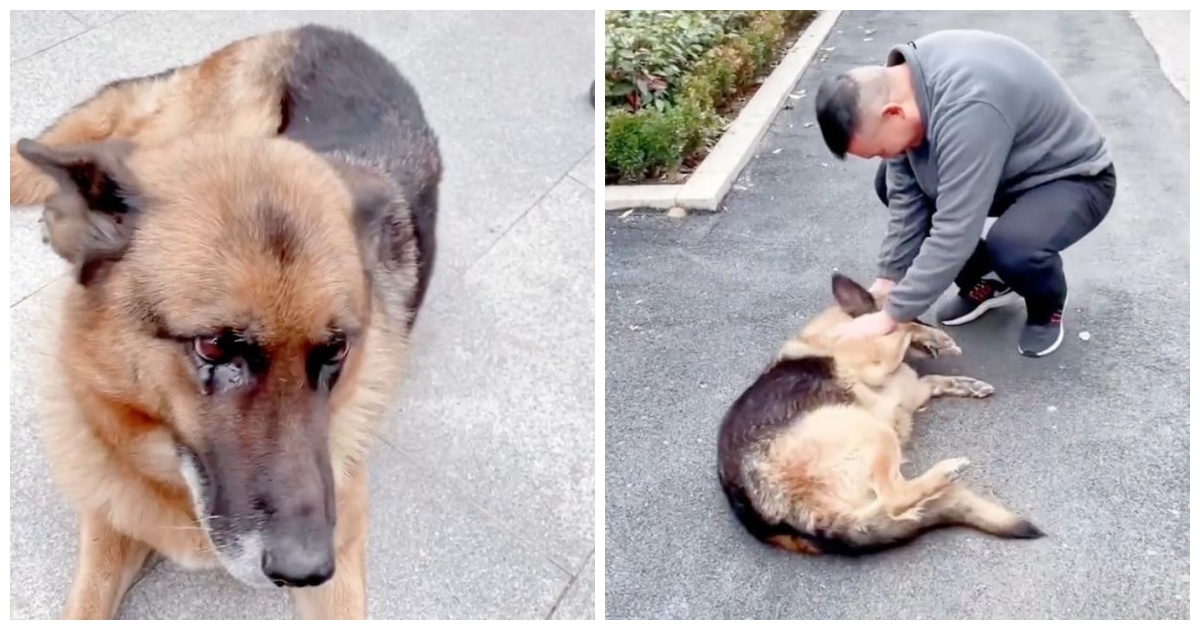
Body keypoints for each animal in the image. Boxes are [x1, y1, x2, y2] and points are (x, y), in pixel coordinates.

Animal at [715, 274, 1046, 554]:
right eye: (916, 314)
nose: (937, 330)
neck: (836, 329)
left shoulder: (913, 390)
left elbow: (935, 379)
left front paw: (968, 384)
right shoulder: (880, 363)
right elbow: (900, 329)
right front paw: (933, 337)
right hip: (874, 431)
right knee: (893, 500)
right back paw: (945, 471)